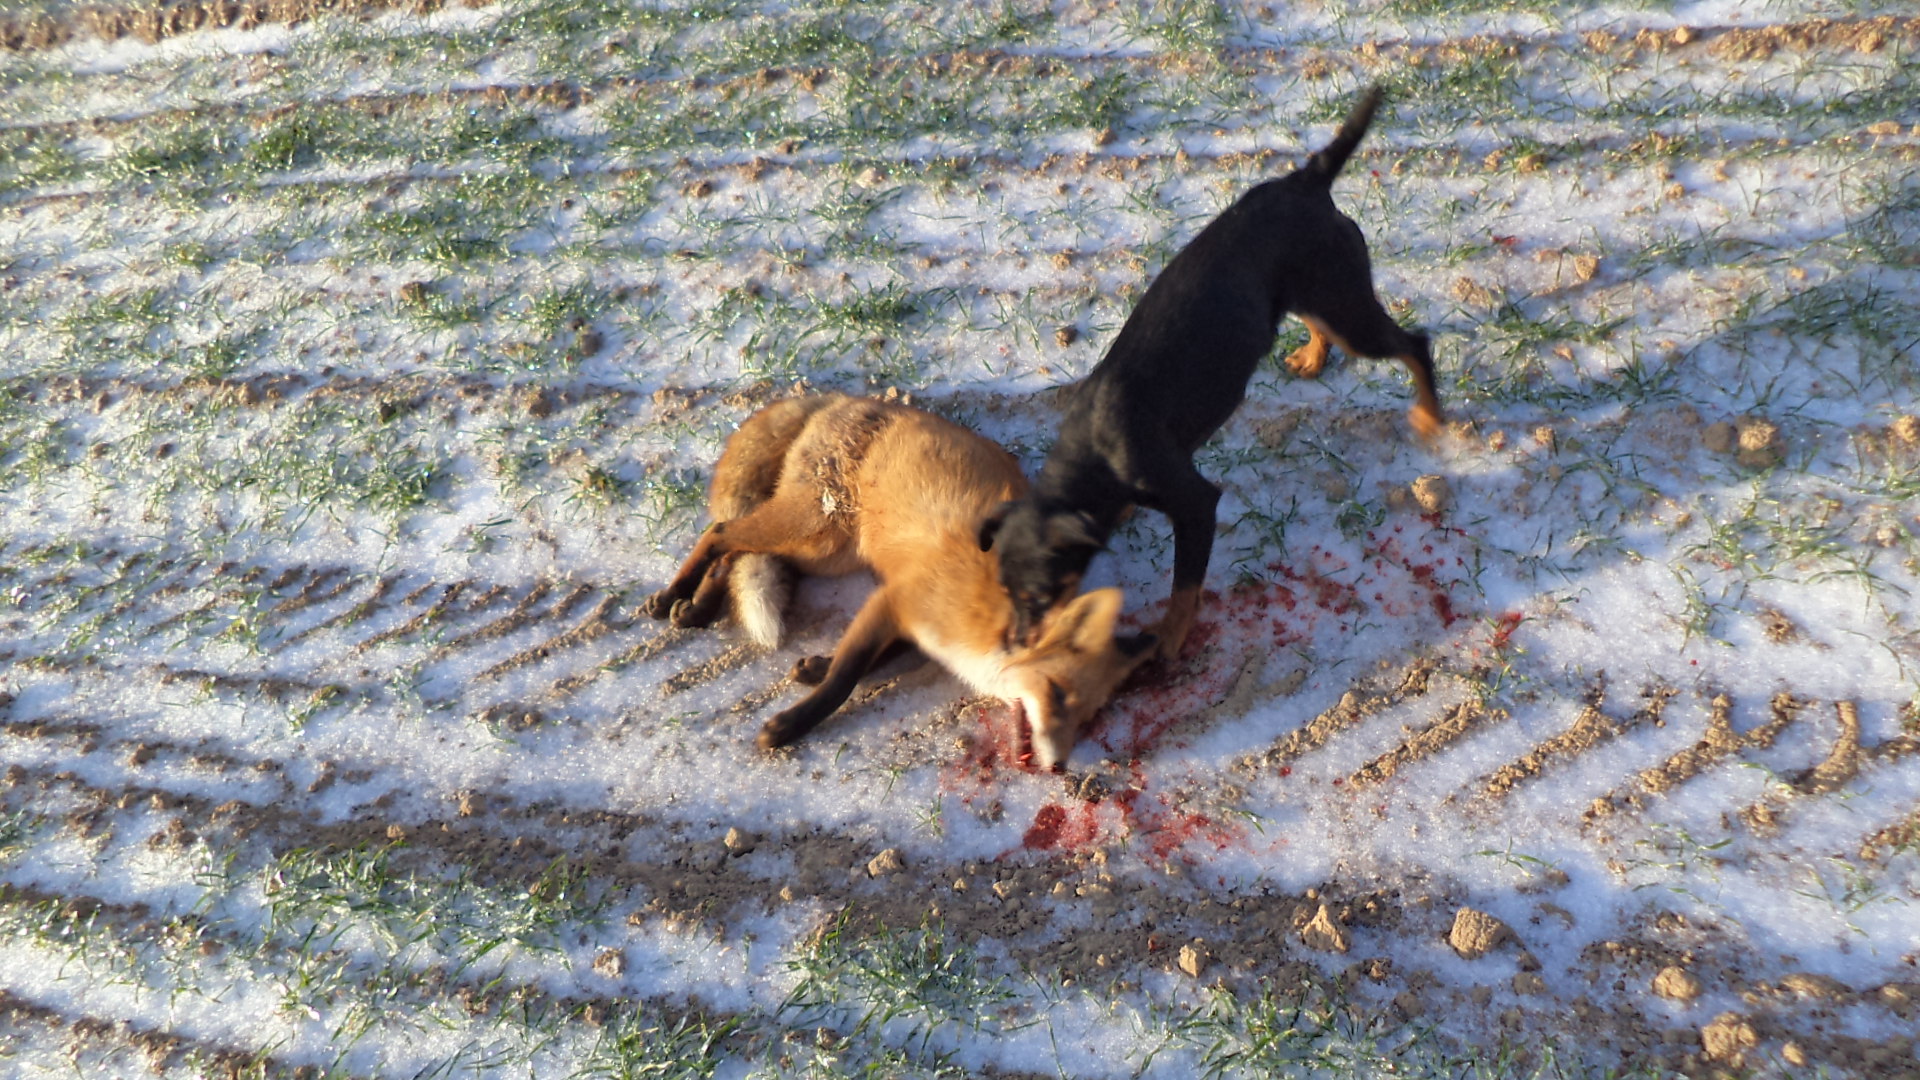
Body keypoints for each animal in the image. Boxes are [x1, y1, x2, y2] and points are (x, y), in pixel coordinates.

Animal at [644, 392, 1156, 770]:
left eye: (1087, 716)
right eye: (1057, 695)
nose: (1060, 766)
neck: (990, 627)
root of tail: (847, 397)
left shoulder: (911, 620)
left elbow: (875, 658)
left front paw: (814, 667)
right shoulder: (894, 599)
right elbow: (847, 677)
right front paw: (789, 725)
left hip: (825, 552)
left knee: (737, 551)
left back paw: (699, 606)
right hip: (812, 529)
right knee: (720, 533)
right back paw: (677, 597)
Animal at [980, 84, 1443, 661]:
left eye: (1040, 596)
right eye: (1003, 589)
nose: (1013, 646)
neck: (1092, 454)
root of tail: (1305, 180)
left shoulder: (1196, 506)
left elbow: (1185, 586)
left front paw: (1168, 641)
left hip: (1345, 302)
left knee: (1415, 345)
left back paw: (1430, 417)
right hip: (1311, 293)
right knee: (1325, 328)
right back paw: (1313, 359)